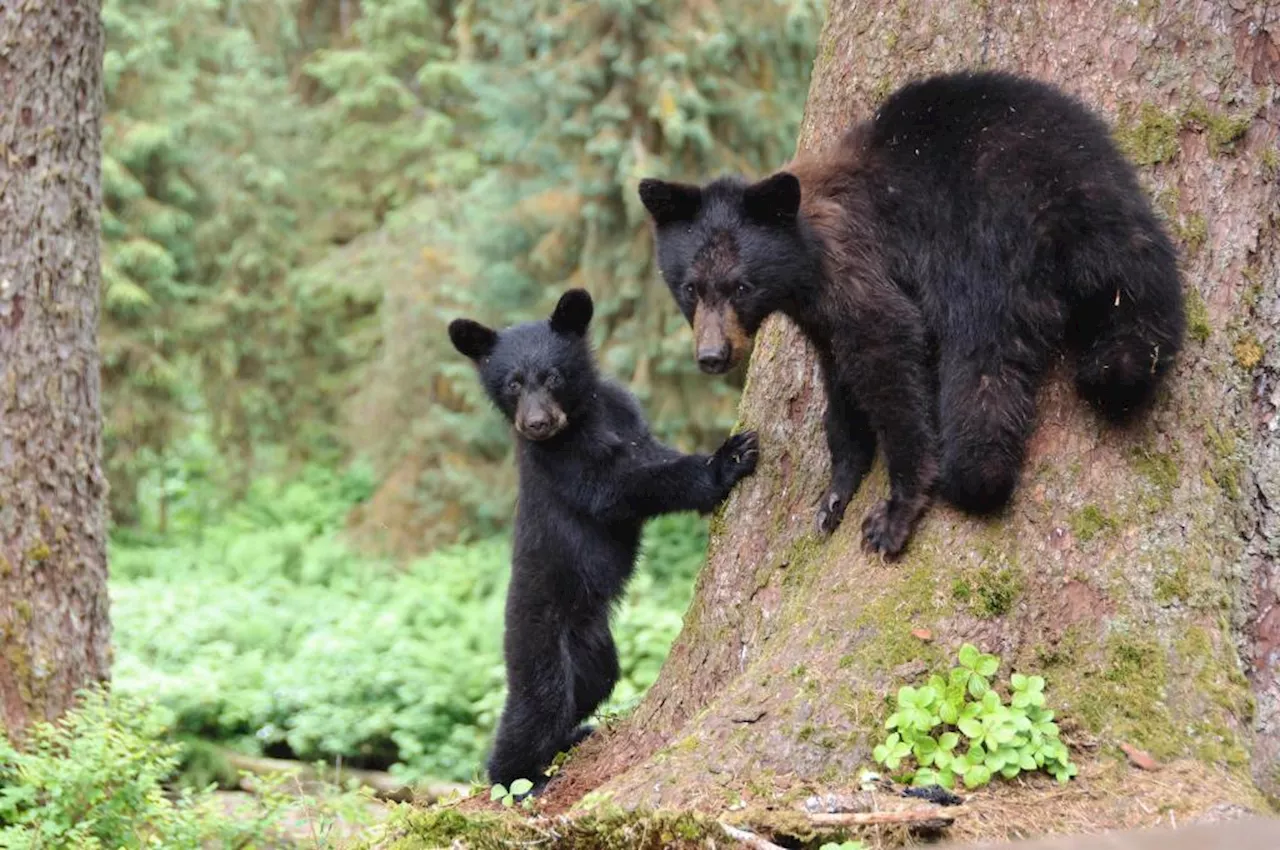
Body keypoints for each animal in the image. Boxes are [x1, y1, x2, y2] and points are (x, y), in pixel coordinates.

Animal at [448, 286, 752, 788]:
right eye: (512, 383)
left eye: (552, 376)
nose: (536, 423)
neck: (584, 416)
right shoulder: (562, 460)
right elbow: (617, 486)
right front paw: (725, 461)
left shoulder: (626, 414)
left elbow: (650, 453)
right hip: (538, 638)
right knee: (537, 705)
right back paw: (517, 778)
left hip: (594, 647)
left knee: (590, 685)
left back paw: (575, 735)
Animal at [634, 71, 1182, 558]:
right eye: (690, 287)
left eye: (742, 286)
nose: (712, 355)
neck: (805, 263)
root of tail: (1056, 210)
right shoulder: (820, 316)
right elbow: (840, 386)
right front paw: (835, 493)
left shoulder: (857, 270)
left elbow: (889, 349)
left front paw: (897, 506)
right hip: (1115, 214)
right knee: (1145, 294)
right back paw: (1119, 367)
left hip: (982, 248)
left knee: (983, 359)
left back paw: (976, 473)